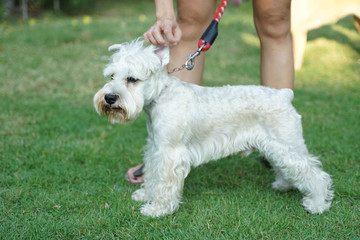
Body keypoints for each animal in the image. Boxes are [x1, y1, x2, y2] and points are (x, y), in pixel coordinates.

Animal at [93, 39, 334, 218]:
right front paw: (145, 194)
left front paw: (157, 209)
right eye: (111, 76)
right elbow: (152, 174)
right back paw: (283, 185)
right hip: (276, 147)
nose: (109, 98)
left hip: (287, 146)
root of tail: (284, 94)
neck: (161, 95)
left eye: (132, 79)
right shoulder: (155, 148)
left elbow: (164, 182)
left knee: (315, 174)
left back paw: (317, 203)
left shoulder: (170, 153)